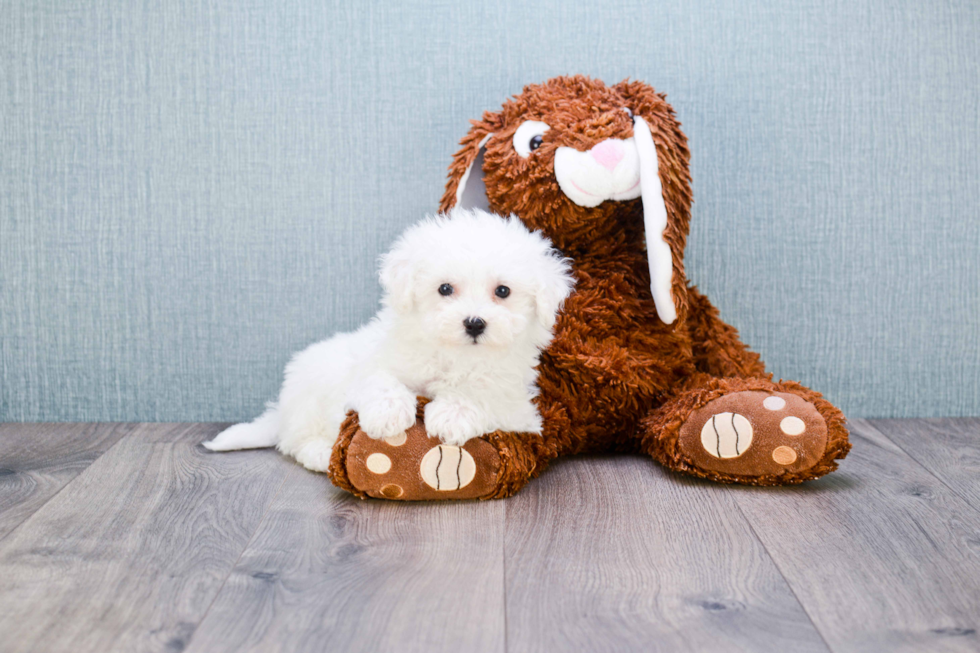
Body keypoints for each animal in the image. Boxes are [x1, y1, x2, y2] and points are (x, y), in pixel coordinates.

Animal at [205, 209, 576, 468]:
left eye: (503, 291)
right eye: (444, 289)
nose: (474, 323)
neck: (454, 355)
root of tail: (281, 412)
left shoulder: (518, 407)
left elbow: (481, 394)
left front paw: (452, 415)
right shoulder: (374, 363)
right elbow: (380, 379)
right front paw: (388, 415)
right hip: (310, 394)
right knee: (295, 442)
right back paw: (322, 454)